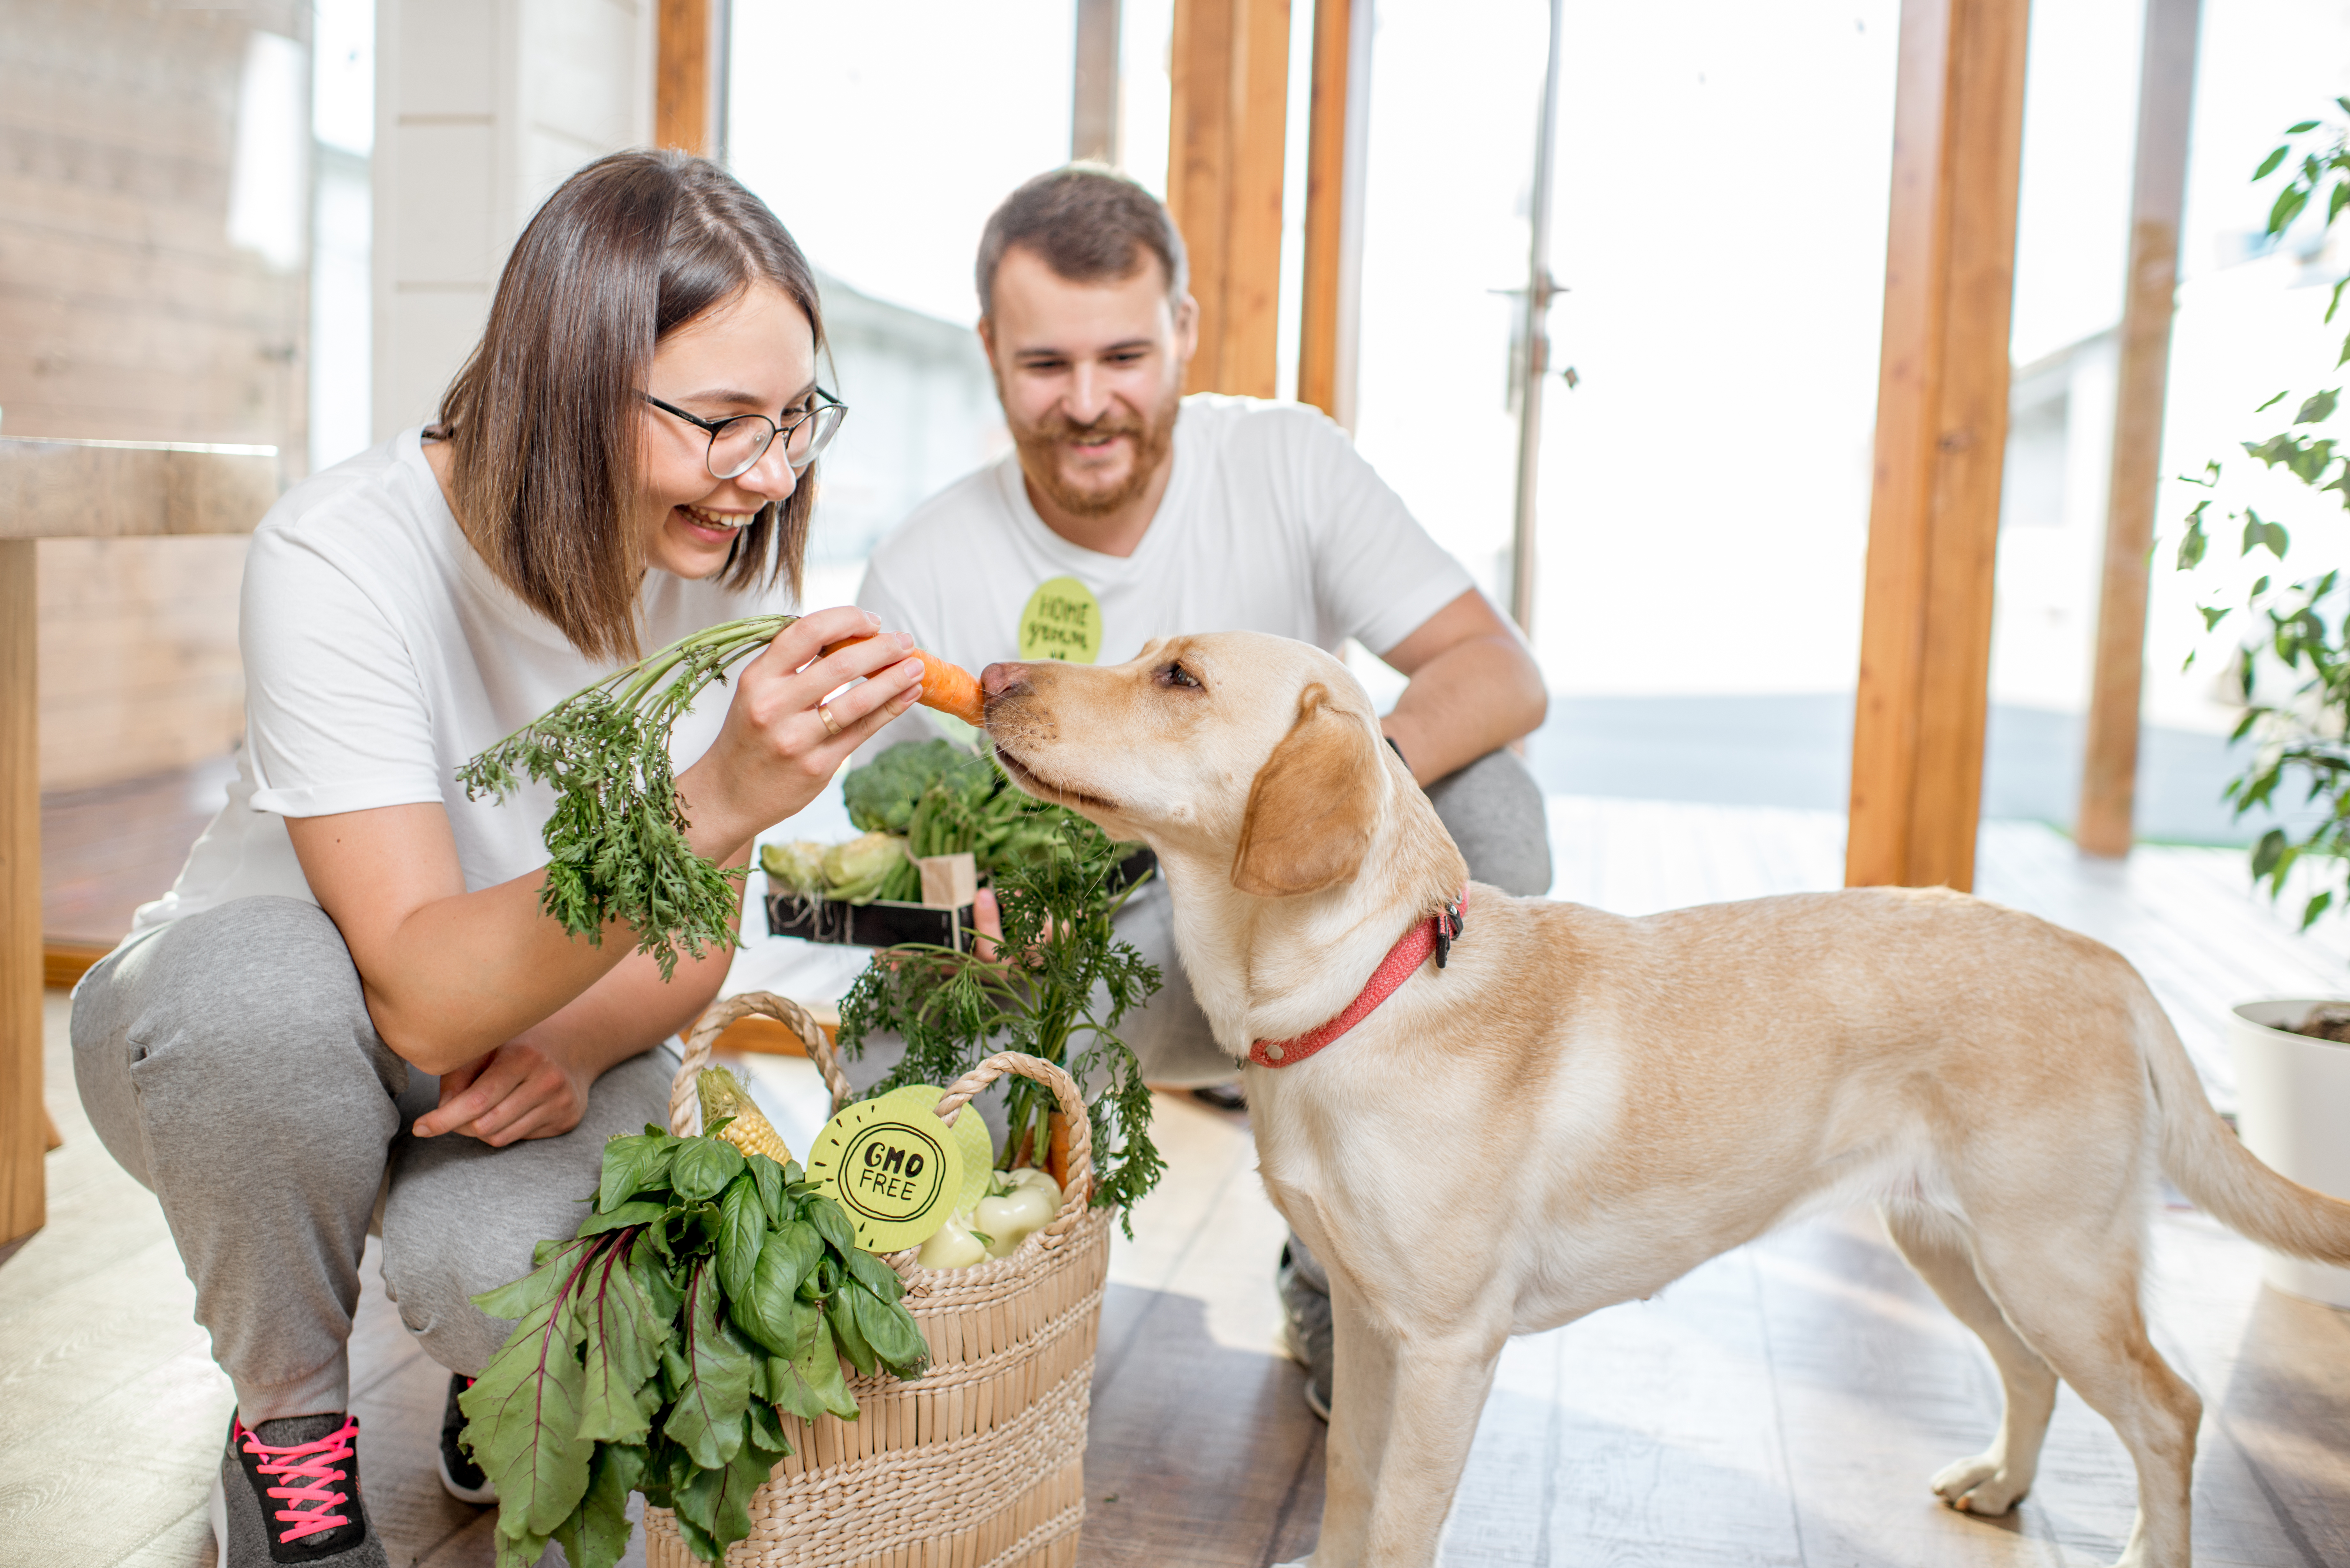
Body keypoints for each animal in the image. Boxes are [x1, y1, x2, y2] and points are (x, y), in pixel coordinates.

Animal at [982, 630, 2350, 1568]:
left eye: (1179, 677)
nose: (992, 672)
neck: (1370, 981)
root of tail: (2106, 960)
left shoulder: (1444, 1349)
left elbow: (1403, 1520)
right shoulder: (1374, 1331)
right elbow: (1356, 1494)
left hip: (2052, 1258)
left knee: (2169, 1410)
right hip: (1954, 1244)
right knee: (2031, 1374)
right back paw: (2004, 1484)